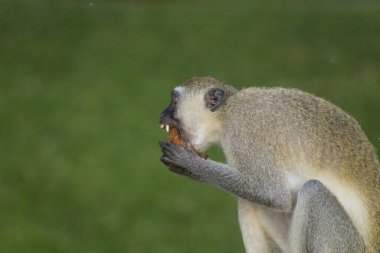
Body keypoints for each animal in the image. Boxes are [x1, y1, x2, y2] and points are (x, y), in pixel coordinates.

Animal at [158, 76, 380, 252]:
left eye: (174, 100)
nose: (161, 114)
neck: (227, 110)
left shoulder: (243, 130)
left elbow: (272, 194)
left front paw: (190, 163)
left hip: (347, 244)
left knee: (313, 191)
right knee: (249, 202)